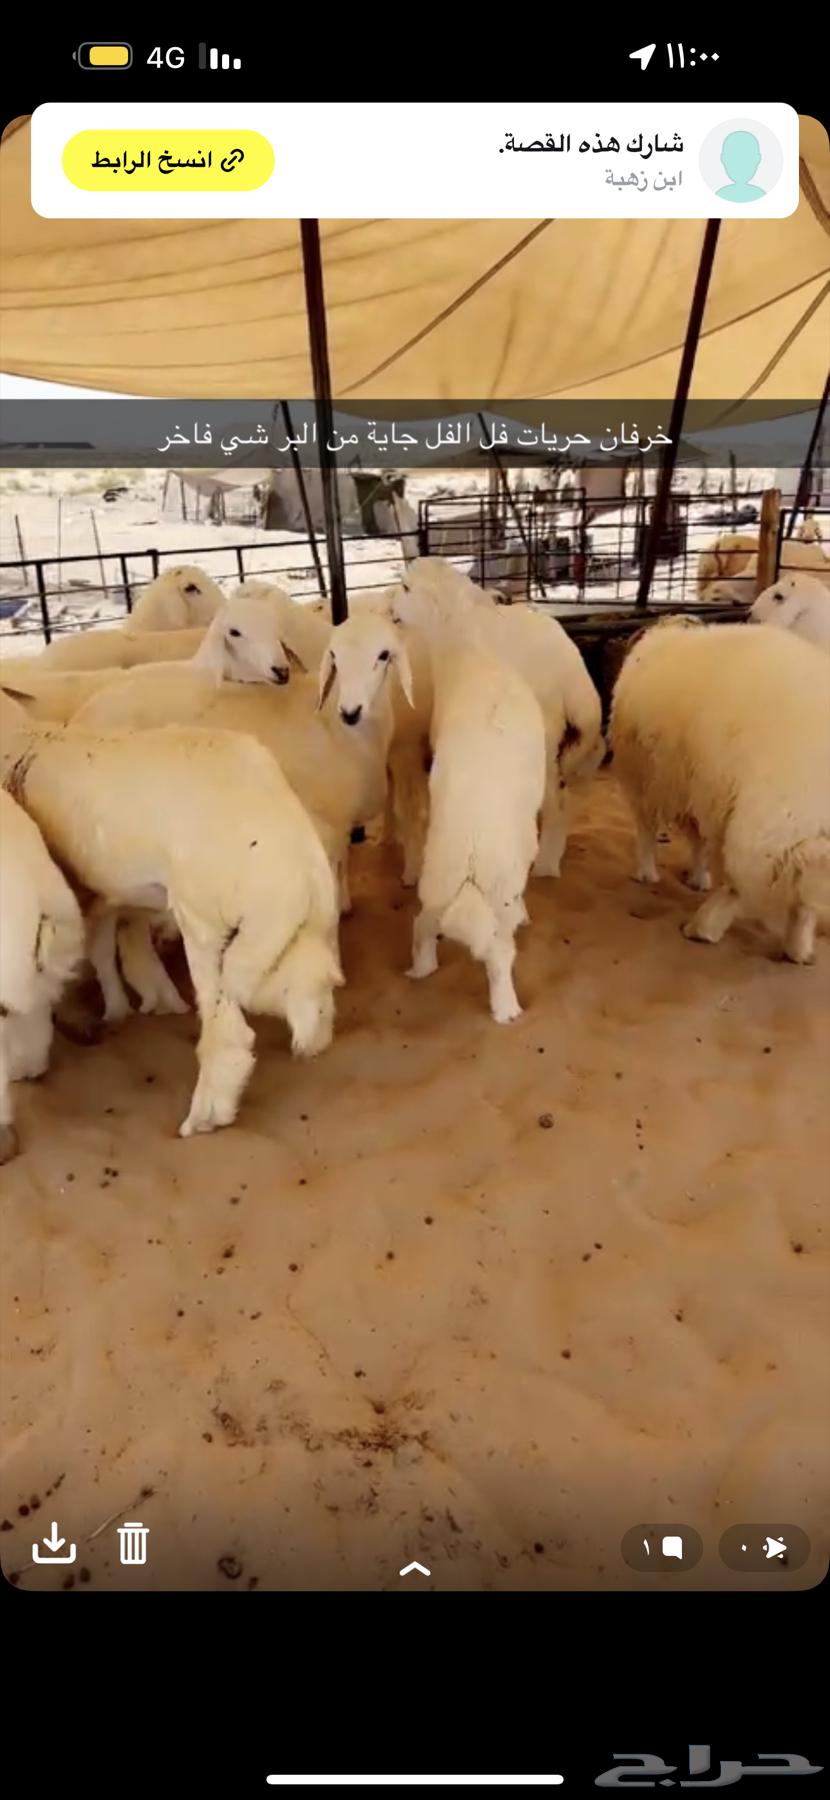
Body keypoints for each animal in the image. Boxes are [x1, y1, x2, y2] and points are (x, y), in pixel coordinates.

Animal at [0, 692, 342, 1135]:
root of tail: (292, 856)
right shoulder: (102, 891)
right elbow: (105, 943)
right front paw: (129, 1005)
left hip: (206, 923)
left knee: (229, 1034)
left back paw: (204, 1116)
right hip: (300, 928)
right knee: (313, 985)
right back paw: (313, 1038)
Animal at [393, 580, 546, 1022]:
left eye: (406, 586)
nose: (390, 605)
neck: (468, 654)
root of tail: (474, 846)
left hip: (440, 881)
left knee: (426, 925)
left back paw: (425, 972)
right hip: (493, 888)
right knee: (496, 951)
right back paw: (505, 1008)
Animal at [610, 620, 830, 963]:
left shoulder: (648, 781)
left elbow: (647, 830)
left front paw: (647, 873)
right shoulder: (699, 791)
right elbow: (696, 840)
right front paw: (697, 877)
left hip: (759, 831)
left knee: (742, 888)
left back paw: (703, 927)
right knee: (801, 901)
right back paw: (797, 948)